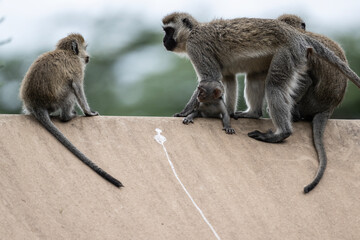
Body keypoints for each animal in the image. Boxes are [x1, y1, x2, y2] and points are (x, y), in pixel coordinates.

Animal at [20, 33, 124, 188]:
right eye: (84, 48)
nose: (87, 56)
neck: (66, 52)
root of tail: (35, 105)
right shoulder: (77, 67)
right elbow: (77, 86)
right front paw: (89, 113)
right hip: (56, 100)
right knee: (70, 90)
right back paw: (67, 116)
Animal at [163, 12, 360, 193]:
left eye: (169, 30)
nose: (165, 41)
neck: (193, 31)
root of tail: (297, 35)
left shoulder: (196, 46)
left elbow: (210, 79)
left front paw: (185, 111)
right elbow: (227, 80)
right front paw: (227, 113)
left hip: (287, 53)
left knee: (274, 86)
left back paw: (281, 133)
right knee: (255, 76)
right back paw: (253, 113)